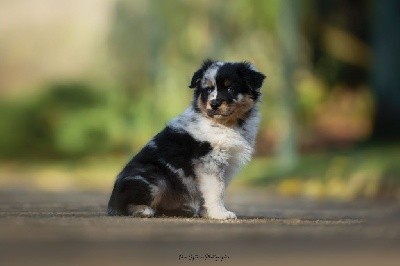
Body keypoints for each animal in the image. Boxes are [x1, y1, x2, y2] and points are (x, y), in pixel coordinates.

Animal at [108, 60, 268, 220]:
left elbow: (213, 190)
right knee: (125, 205)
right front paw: (220, 213)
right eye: (208, 90)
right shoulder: (210, 160)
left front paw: (208, 213)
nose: (214, 104)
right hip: (155, 178)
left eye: (231, 88)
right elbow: (216, 189)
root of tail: (111, 203)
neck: (225, 124)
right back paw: (144, 210)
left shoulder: (226, 164)